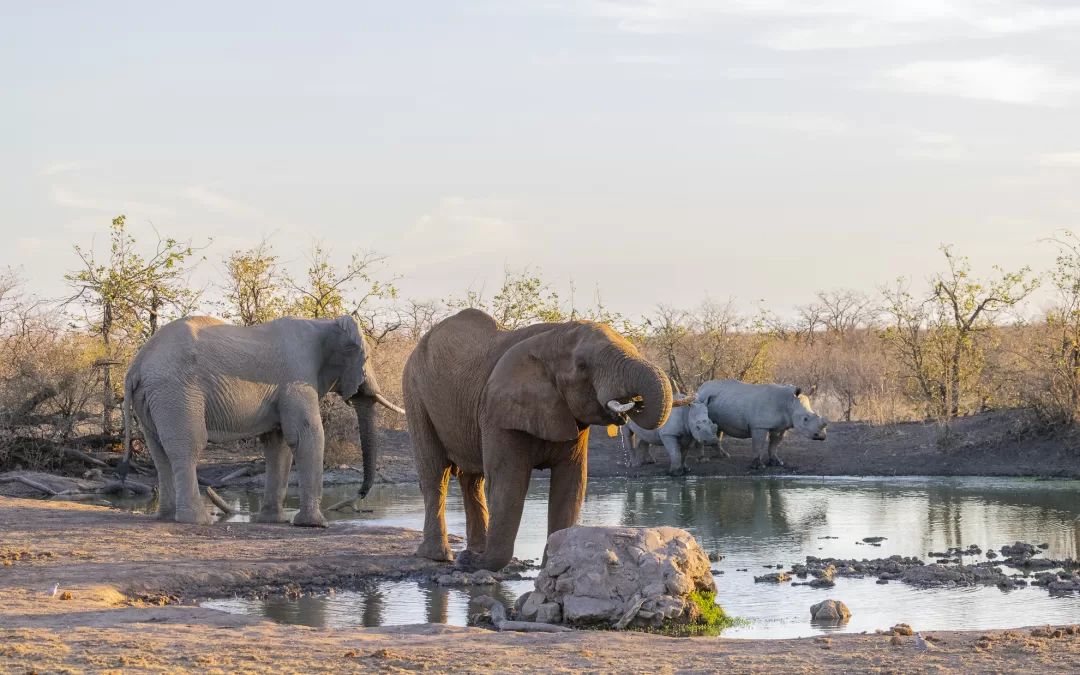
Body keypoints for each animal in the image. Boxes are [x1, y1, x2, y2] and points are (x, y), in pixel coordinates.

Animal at [119, 313, 406, 524]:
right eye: (368, 358)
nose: (361, 494)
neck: (326, 323)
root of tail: (137, 364)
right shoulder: (297, 376)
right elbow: (306, 435)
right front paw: (314, 524)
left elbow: (278, 444)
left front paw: (272, 521)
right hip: (176, 392)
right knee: (188, 446)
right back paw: (197, 521)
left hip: (153, 397)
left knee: (159, 451)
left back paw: (166, 517)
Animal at [401, 308, 686, 570]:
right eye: (583, 366)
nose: (633, 402)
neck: (553, 336)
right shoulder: (498, 411)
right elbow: (509, 484)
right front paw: (476, 564)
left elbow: (571, 485)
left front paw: (554, 565)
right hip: (414, 392)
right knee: (435, 474)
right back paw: (441, 556)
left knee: (473, 481)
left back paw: (472, 551)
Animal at [691, 380, 825, 468]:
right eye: (805, 419)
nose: (821, 436)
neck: (789, 402)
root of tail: (700, 388)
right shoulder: (760, 426)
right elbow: (759, 445)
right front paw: (758, 466)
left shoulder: (781, 427)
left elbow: (774, 445)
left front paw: (777, 463)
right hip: (702, 401)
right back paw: (703, 459)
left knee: (717, 429)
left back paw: (724, 456)